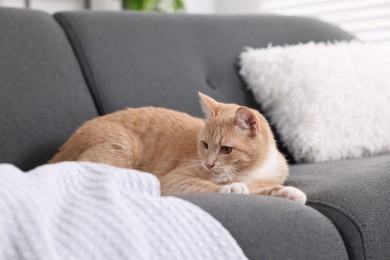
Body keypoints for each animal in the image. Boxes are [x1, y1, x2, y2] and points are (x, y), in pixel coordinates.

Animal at [48, 93, 306, 203]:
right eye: (205, 145)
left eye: (226, 149)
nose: (208, 164)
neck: (253, 170)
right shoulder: (174, 180)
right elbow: (207, 185)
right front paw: (231, 188)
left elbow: (263, 189)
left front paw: (286, 192)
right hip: (122, 147)